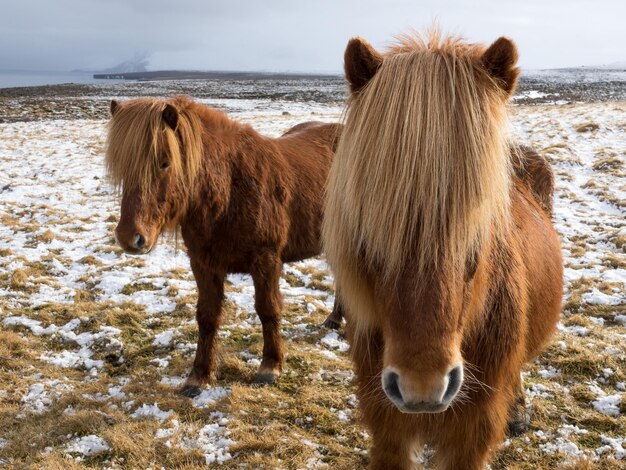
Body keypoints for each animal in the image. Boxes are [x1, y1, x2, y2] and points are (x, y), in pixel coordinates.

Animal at [106, 97, 342, 398]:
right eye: (123, 167)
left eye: (164, 163)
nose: (130, 238)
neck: (230, 190)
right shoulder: (203, 264)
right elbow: (207, 317)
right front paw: (198, 376)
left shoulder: (266, 261)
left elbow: (268, 310)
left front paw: (270, 366)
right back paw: (334, 320)